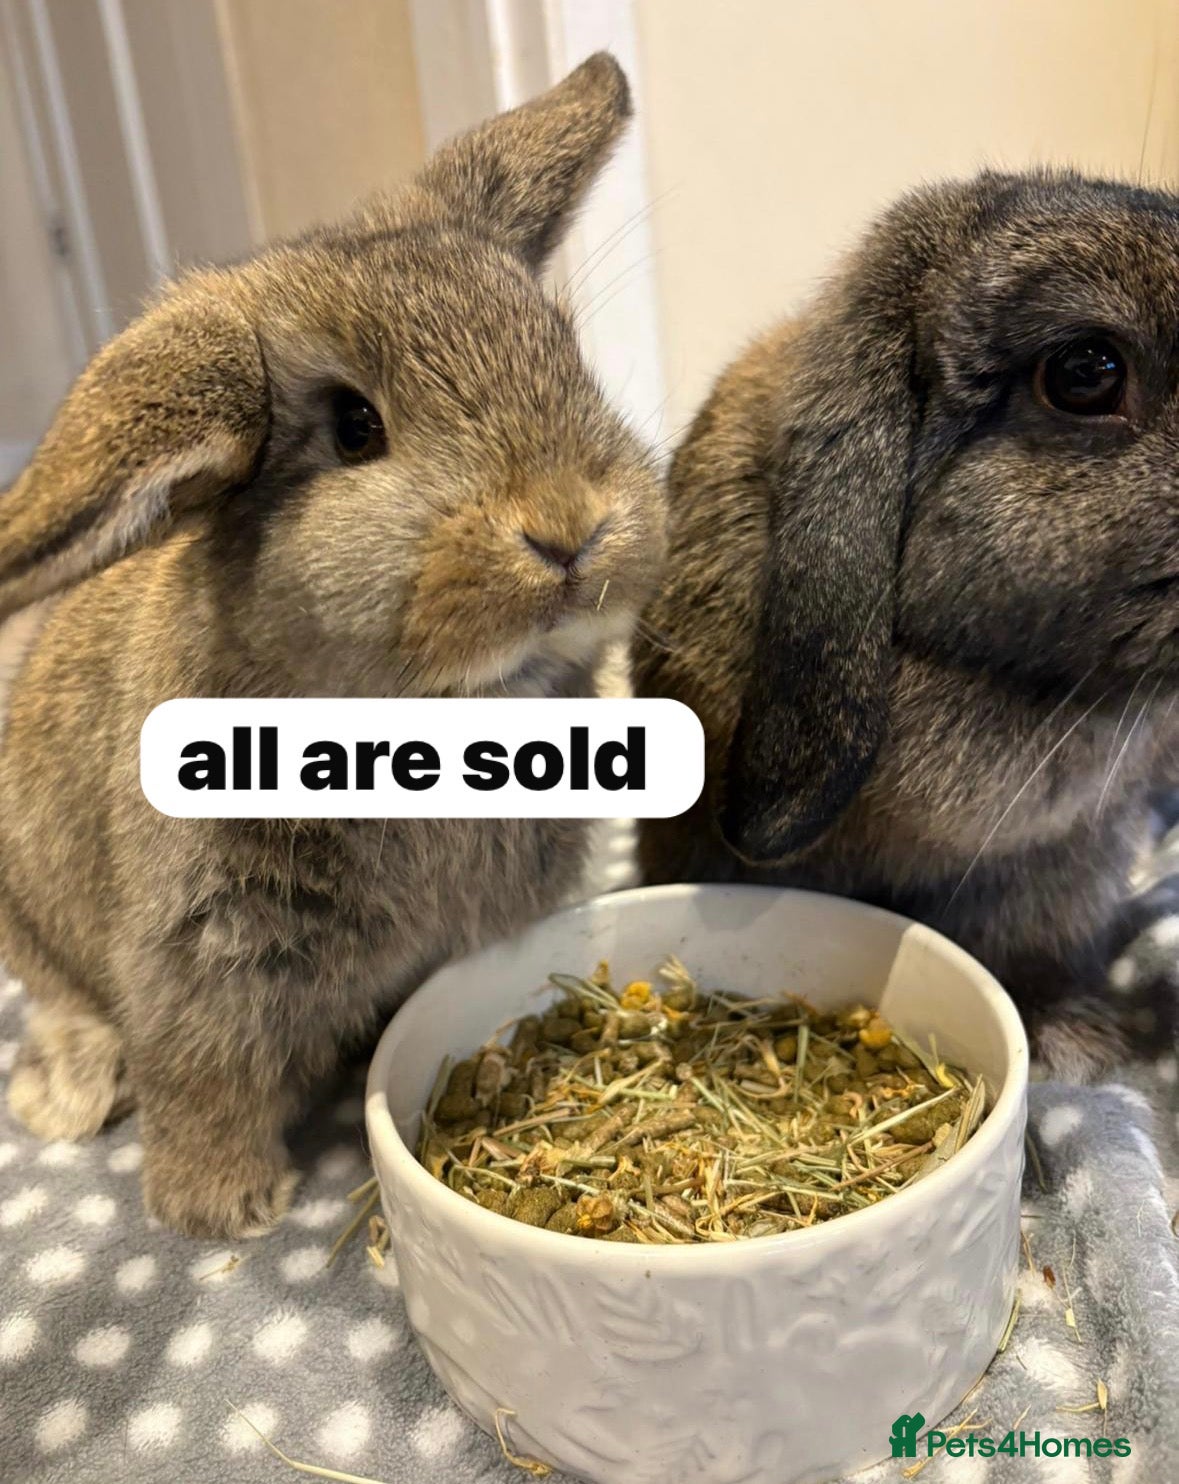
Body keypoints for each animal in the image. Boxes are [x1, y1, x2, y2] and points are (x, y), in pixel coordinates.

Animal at [0, 53, 665, 1238]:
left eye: (563, 353)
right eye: (355, 428)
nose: (570, 529)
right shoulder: (201, 959)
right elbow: (203, 1080)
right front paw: (224, 1210)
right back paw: (68, 1095)